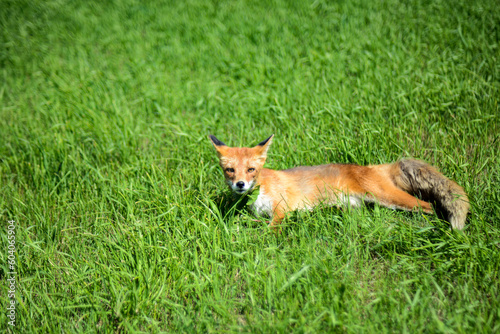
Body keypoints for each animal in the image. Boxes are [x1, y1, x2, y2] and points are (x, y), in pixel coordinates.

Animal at [208, 134, 468, 228]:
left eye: (251, 170)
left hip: (389, 197)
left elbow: (268, 230)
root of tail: (376, 167)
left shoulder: (283, 210)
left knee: (429, 205)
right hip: (354, 205)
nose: (240, 185)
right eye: (230, 171)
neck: (261, 191)